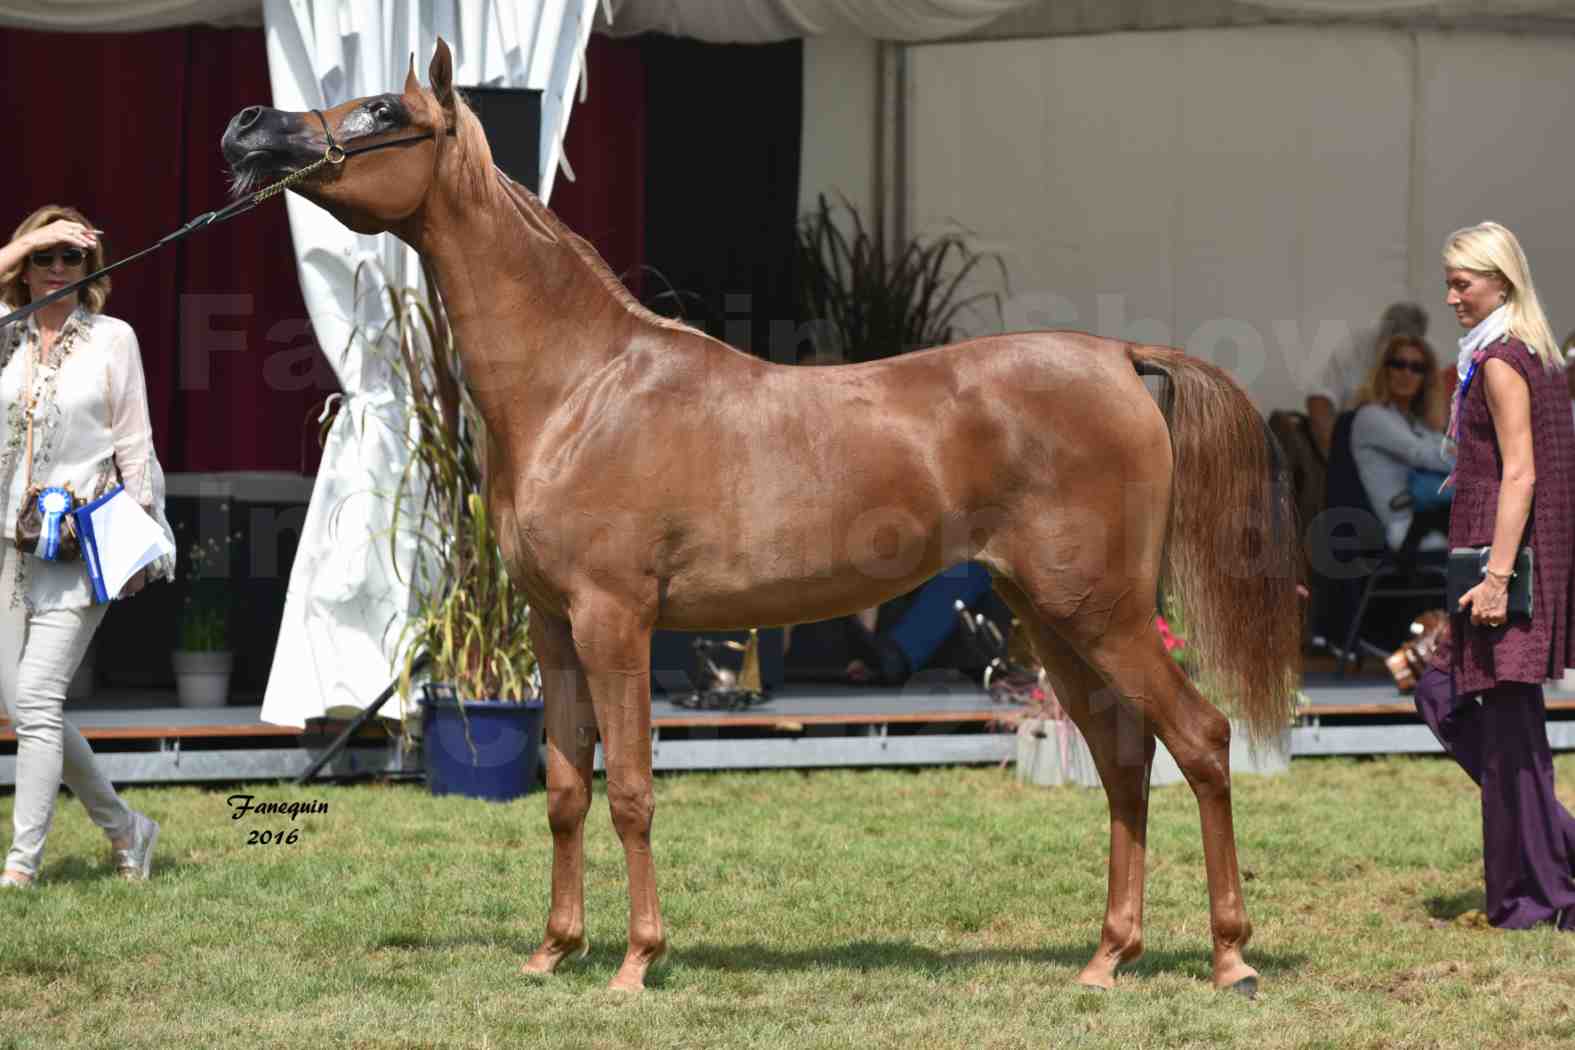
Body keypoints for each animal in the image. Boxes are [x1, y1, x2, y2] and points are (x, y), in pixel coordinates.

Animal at [225, 38, 1304, 994]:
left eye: (382, 111)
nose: (248, 128)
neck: (583, 385)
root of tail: (1119, 356)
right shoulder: (553, 627)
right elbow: (567, 791)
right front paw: (552, 952)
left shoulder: (615, 620)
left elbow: (630, 791)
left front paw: (634, 963)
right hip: (1050, 620)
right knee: (1126, 760)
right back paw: (1107, 960)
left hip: (1102, 613)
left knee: (1200, 740)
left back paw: (1232, 960)